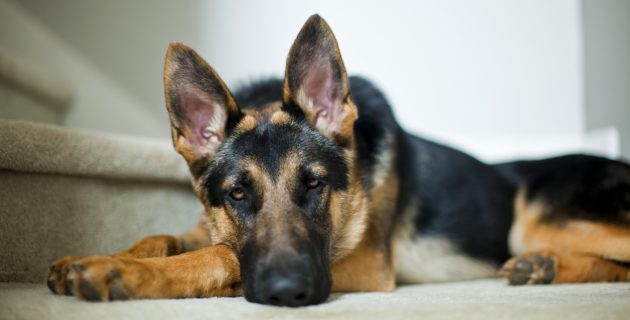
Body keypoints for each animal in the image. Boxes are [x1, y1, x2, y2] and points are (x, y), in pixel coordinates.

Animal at [48, 15, 630, 308]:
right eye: (237, 194)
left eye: (315, 185)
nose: (289, 293)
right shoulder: (210, 220)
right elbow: (167, 237)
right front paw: (107, 255)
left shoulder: (365, 264)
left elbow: (221, 256)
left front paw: (122, 271)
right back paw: (545, 269)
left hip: (532, 220)